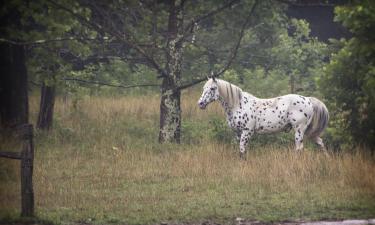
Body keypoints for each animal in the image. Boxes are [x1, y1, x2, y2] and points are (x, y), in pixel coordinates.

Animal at [198, 77, 330, 158]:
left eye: (212, 88)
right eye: (204, 88)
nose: (201, 103)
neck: (238, 104)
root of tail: (308, 100)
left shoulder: (247, 131)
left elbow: (242, 150)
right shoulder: (238, 133)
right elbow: (242, 150)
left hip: (299, 130)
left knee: (299, 148)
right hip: (308, 131)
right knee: (320, 143)